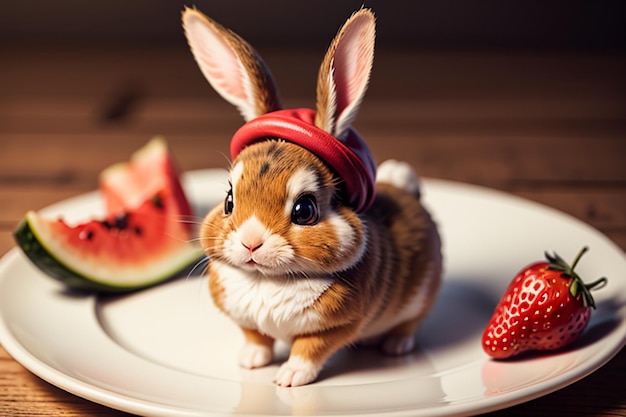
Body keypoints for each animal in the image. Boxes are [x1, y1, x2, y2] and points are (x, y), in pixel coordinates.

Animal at [183, 6, 442, 386]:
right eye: (229, 200)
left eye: (305, 210)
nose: (250, 242)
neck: (268, 280)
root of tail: (408, 191)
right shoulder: (246, 321)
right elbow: (256, 337)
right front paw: (250, 361)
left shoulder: (336, 326)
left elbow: (310, 349)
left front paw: (289, 377)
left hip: (422, 296)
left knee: (411, 323)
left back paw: (395, 346)